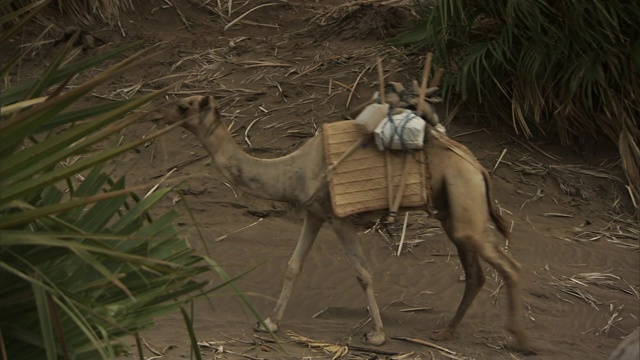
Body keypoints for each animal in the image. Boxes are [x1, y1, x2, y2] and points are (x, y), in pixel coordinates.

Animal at [160, 94, 528, 350]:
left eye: (183, 106)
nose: (159, 113)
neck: (295, 168)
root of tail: (477, 166)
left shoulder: (339, 218)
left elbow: (362, 272)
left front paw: (377, 336)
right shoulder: (314, 212)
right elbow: (294, 265)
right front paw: (269, 323)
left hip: (463, 193)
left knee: (509, 266)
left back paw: (519, 341)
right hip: (453, 209)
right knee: (475, 272)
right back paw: (446, 332)